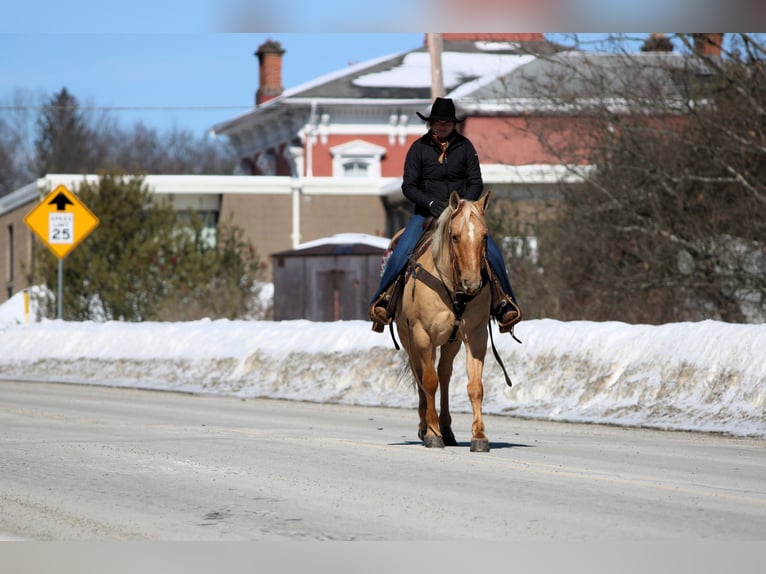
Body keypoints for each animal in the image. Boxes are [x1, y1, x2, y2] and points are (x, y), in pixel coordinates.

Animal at [394, 190, 494, 452]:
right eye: (456, 237)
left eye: (485, 236)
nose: (472, 283)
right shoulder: (422, 335)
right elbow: (429, 382)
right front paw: (432, 433)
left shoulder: (476, 335)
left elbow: (475, 387)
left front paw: (479, 436)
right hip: (409, 340)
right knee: (422, 375)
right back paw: (426, 427)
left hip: (451, 342)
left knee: (445, 375)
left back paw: (447, 429)